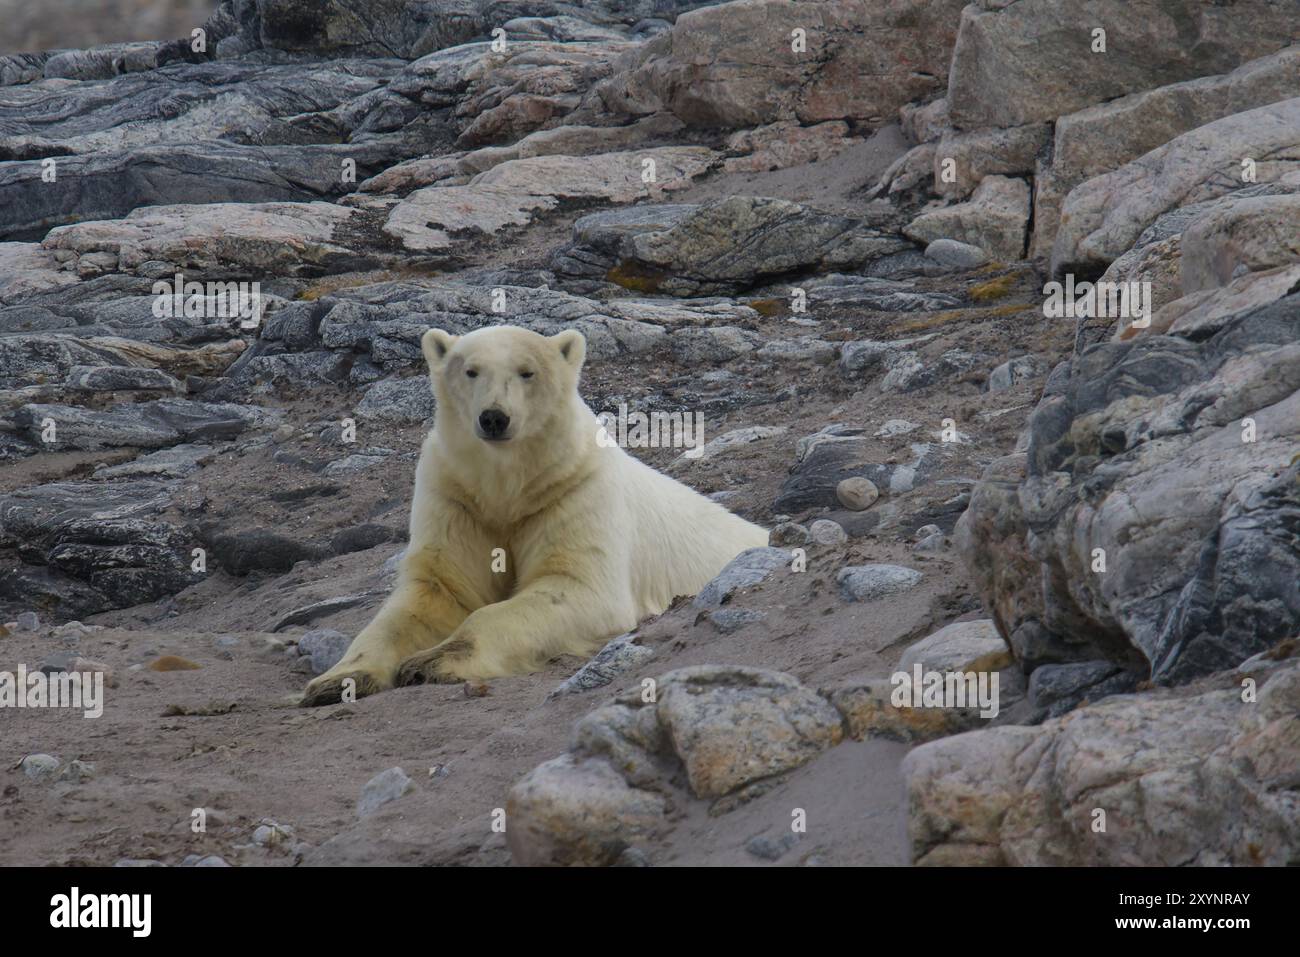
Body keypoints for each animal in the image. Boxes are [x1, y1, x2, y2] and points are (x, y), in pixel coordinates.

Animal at [301, 325, 769, 707]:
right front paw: (337, 681)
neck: (510, 488)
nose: (494, 417)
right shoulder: (456, 497)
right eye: (470, 371)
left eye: (527, 372)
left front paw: (429, 662)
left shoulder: (573, 491)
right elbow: (433, 592)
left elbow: (573, 584)